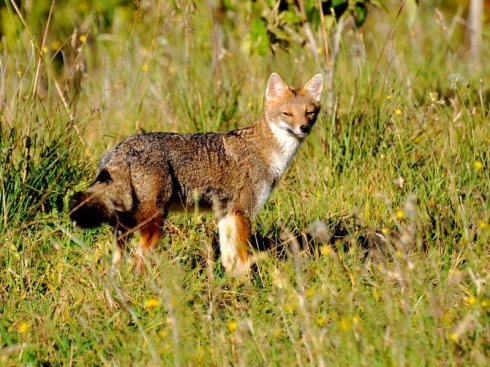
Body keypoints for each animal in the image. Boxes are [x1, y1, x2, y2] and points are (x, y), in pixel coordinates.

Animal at [69, 72, 322, 276]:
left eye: (309, 113)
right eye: (287, 114)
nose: (304, 128)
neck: (267, 151)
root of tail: (122, 147)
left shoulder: (226, 215)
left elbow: (229, 260)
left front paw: (233, 287)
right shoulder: (243, 213)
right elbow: (244, 259)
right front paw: (250, 287)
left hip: (125, 228)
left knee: (118, 264)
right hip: (154, 224)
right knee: (137, 263)